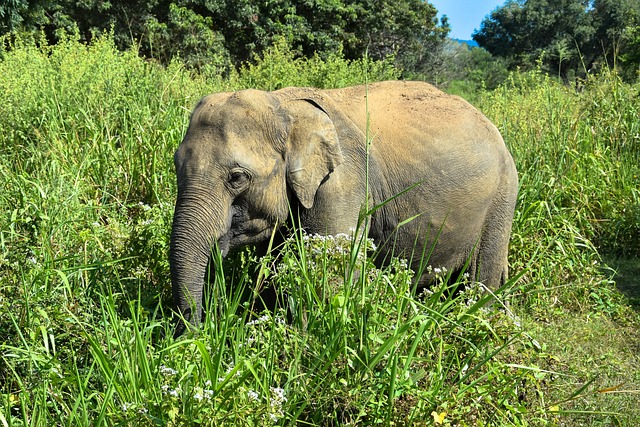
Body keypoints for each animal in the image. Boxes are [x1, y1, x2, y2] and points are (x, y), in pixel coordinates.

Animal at [170, 80, 518, 334]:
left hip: (502, 198)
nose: (198, 335)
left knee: (482, 277)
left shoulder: (342, 185)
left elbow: (334, 278)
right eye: (176, 166)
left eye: (237, 177)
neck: (283, 105)